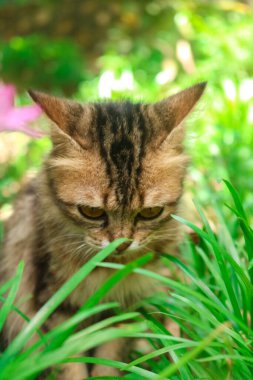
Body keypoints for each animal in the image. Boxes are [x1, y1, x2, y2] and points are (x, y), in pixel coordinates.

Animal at [0, 82, 206, 378]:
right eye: (92, 212)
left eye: (150, 213)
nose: (122, 243)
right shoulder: (56, 305)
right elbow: (69, 366)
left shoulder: (121, 310)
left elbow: (109, 358)